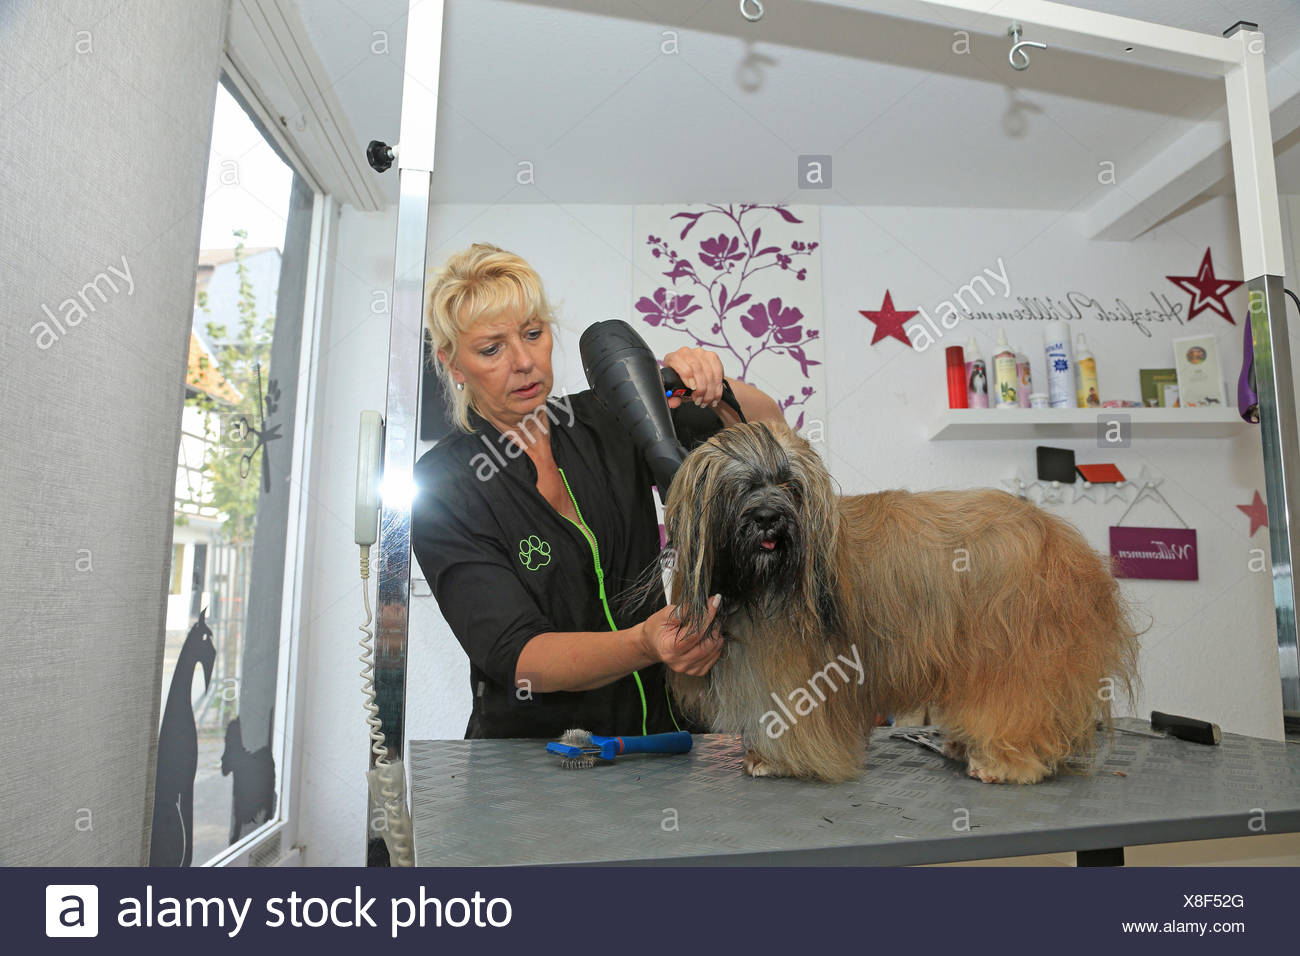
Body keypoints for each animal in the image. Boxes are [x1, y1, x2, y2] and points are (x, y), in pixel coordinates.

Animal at [660, 421, 1138, 780]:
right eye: (739, 486)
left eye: (790, 485)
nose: (767, 517)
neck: (764, 582)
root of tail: (1059, 537)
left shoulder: (799, 668)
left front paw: (780, 761)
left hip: (1014, 648)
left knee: (1019, 702)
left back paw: (1002, 762)